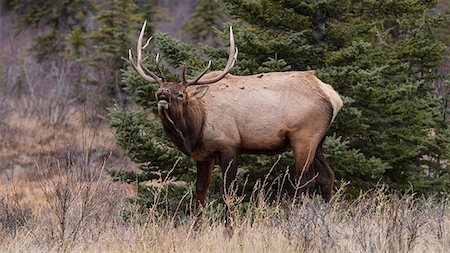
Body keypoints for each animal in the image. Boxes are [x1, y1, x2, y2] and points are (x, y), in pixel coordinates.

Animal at [128, 22, 342, 225]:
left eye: (181, 94)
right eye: (161, 88)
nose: (163, 93)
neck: (196, 129)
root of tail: (334, 97)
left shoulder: (229, 146)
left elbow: (228, 191)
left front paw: (230, 228)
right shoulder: (203, 155)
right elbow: (200, 190)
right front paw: (197, 228)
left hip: (304, 138)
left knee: (306, 181)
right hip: (318, 141)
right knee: (327, 176)